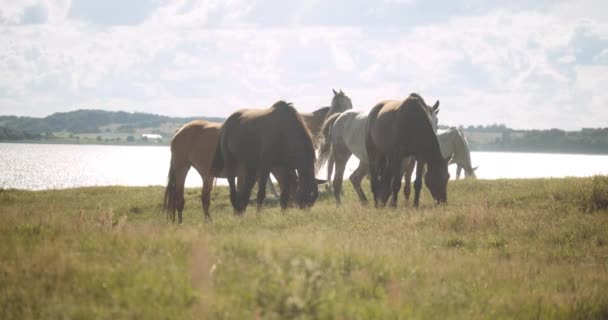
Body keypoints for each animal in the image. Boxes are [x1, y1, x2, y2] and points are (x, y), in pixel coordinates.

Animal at [164, 119, 292, 222]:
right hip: (182, 168)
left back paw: (206, 220)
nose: (287, 210)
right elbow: (242, 195)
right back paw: (182, 221)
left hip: (205, 175)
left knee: (204, 198)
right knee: (181, 198)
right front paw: (238, 216)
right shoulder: (243, 174)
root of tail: (179, 130)